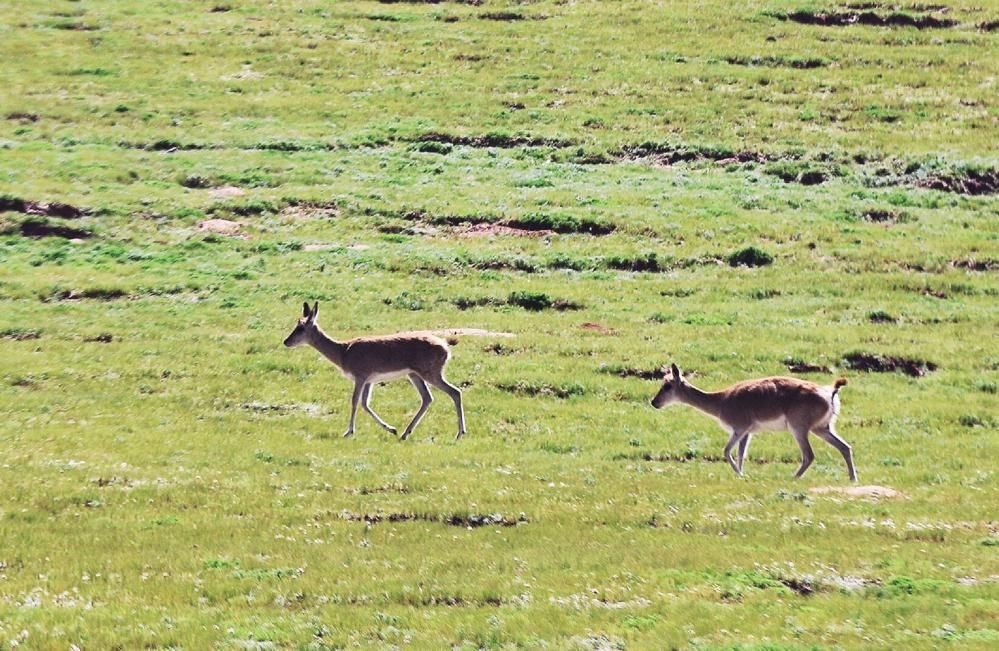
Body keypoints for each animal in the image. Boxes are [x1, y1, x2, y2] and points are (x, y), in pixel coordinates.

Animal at [284, 304, 466, 440]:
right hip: (414, 374)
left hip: (431, 372)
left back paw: (459, 433)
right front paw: (391, 429)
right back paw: (405, 433)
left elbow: (354, 401)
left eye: (301, 327)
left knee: (454, 392)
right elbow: (365, 403)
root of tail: (446, 348)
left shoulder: (360, 375)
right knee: (428, 398)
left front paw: (348, 432)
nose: (286, 341)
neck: (343, 353)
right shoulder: (369, 380)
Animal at [652, 364, 856, 482]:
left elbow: (726, 451)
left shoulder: (739, 429)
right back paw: (853, 479)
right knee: (845, 447)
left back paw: (793, 478)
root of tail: (830, 393)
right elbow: (741, 454)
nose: (654, 402)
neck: (721, 401)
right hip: (822, 428)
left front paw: (740, 474)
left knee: (809, 455)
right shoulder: (747, 432)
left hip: (799, 429)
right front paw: (742, 475)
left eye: (667, 385)